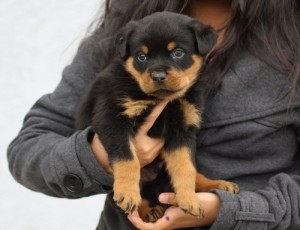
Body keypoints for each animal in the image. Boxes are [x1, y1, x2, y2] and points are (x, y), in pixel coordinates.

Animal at [75, 11, 239, 222]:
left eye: (178, 52)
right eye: (141, 56)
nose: (158, 76)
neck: (164, 100)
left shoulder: (182, 131)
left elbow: (186, 168)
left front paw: (189, 200)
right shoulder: (112, 118)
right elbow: (127, 159)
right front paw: (128, 193)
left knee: (195, 174)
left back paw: (217, 184)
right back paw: (147, 210)